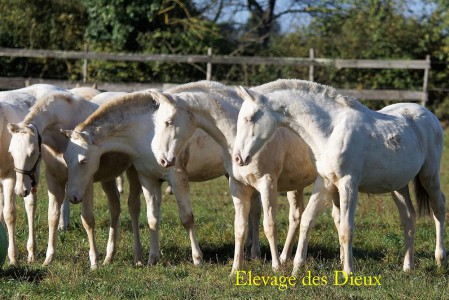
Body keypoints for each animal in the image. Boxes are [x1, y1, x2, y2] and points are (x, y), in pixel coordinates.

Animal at [7, 91, 143, 268]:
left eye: (32, 152)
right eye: (11, 152)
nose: (20, 190)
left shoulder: (86, 182)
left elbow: (88, 219)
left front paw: (94, 261)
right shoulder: (54, 180)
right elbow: (53, 217)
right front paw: (48, 258)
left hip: (134, 172)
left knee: (134, 208)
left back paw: (138, 257)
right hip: (108, 178)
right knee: (115, 207)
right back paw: (109, 256)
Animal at [149, 80, 320, 274]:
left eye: (168, 122)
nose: (162, 159)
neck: (237, 139)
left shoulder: (267, 183)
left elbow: (269, 226)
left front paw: (275, 267)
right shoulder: (238, 186)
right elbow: (240, 228)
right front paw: (235, 269)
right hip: (296, 184)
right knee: (296, 216)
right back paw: (285, 257)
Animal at [233, 79, 446, 274]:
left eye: (249, 118)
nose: (238, 158)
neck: (330, 131)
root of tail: (428, 114)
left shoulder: (348, 184)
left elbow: (346, 229)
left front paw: (348, 272)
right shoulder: (325, 182)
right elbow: (307, 219)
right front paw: (296, 269)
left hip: (429, 175)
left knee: (439, 208)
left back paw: (439, 260)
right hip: (398, 186)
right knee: (408, 217)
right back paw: (408, 266)